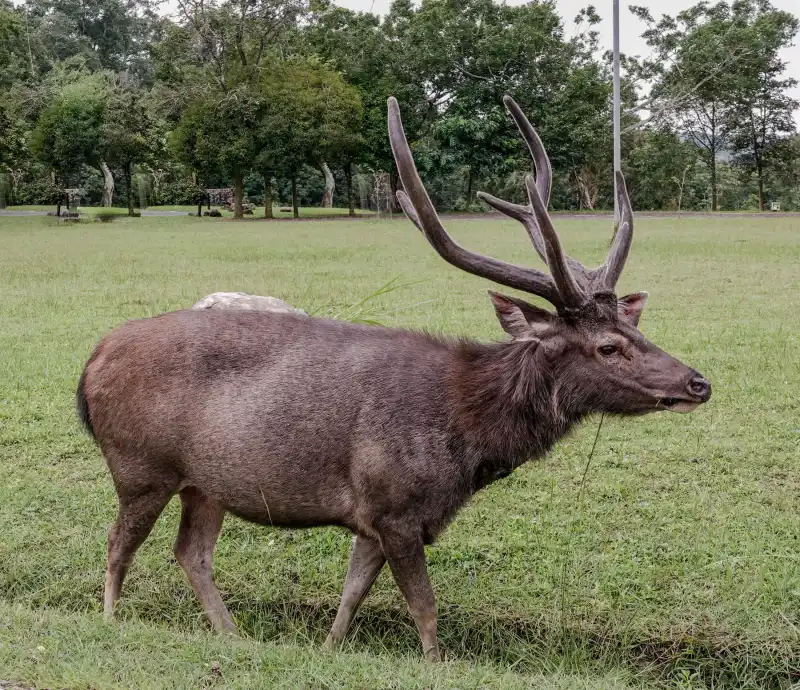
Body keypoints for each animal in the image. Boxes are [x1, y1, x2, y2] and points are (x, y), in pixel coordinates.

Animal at [76, 96, 711, 662]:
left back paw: (233, 635)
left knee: (191, 552)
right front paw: (435, 663)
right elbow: (424, 608)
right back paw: (110, 621)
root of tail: (92, 360)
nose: (698, 383)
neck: (467, 436)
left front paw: (329, 648)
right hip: (141, 466)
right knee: (117, 543)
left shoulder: (375, 518)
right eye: (607, 347)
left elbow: (352, 596)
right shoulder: (396, 506)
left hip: (205, 483)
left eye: (635, 326)